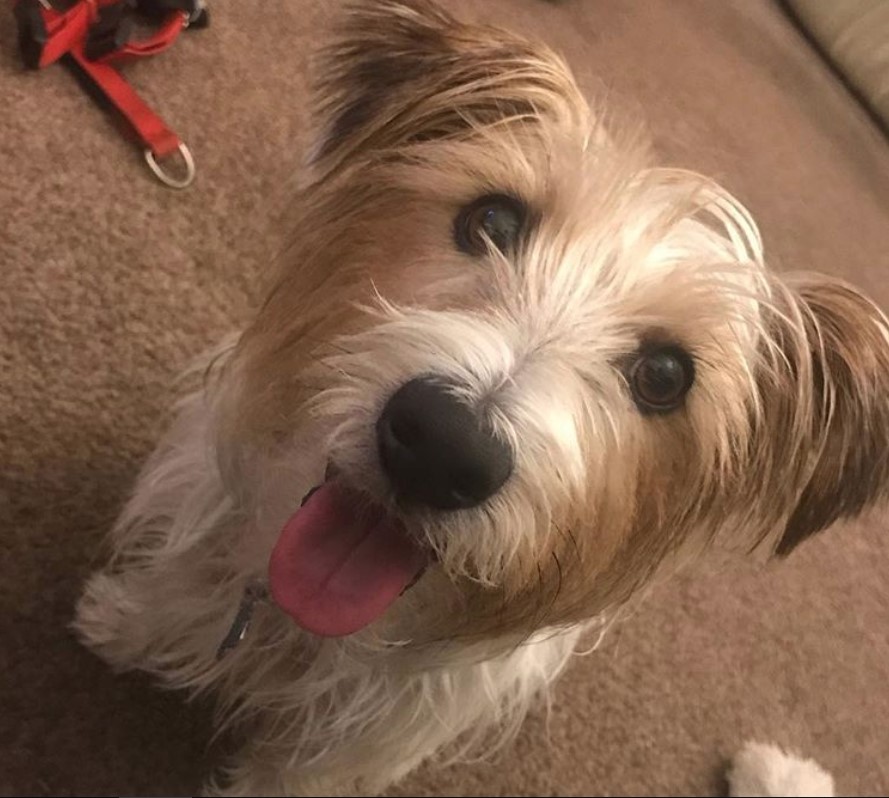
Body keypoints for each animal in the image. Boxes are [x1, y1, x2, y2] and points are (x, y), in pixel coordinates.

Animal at [71, 3, 888, 796]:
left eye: (665, 375)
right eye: (492, 220)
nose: (442, 445)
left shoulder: (359, 744)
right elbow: (177, 584)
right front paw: (119, 624)